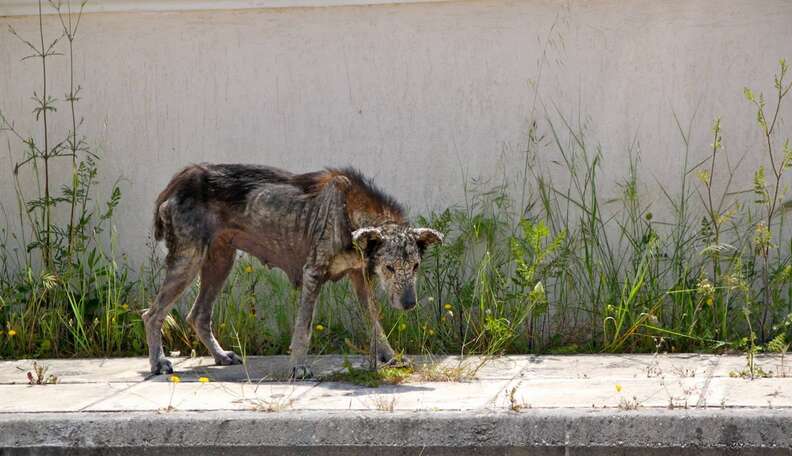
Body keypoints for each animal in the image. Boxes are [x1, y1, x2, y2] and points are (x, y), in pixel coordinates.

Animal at [142, 164, 440, 378]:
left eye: (415, 266)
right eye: (389, 268)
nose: (410, 304)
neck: (348, 212)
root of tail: (181, 179)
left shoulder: (360, 277)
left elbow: (375, 322)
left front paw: (390, 356)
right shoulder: (313, 273)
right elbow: (303, 328)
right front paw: (298, 367)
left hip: (220, 262)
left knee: (198, 315)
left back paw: (220, 356)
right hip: (189, 260)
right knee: (152, 314)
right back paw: (158, 363)